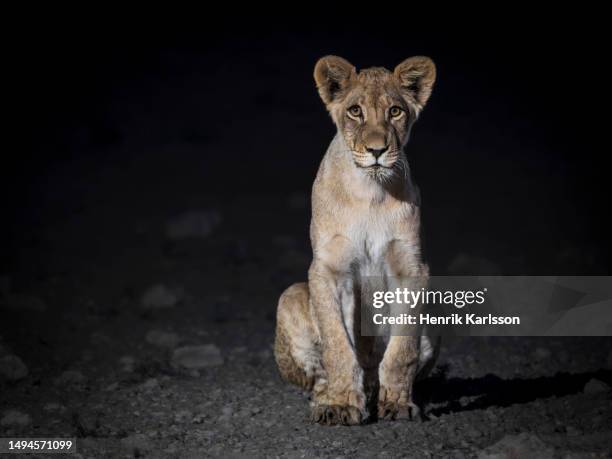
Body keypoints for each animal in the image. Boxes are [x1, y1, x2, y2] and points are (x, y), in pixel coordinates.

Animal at [274, 55, 438, 426]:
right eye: (355, 111)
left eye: (395, 111)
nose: (377, 150)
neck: (370, 193)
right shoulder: (329, 268)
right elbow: (337, 343)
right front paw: (340, 404)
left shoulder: (411, 267)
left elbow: (401, 349)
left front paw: (398, 404)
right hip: (289, 296)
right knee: (318, 373)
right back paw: (325, 398)